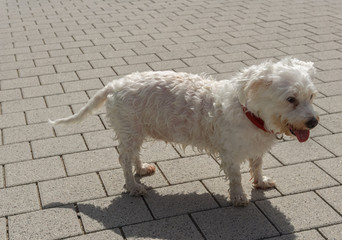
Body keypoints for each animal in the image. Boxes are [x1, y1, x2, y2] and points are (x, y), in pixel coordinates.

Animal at [49, 57, 320, 206]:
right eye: (291, 99)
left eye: (311, 96)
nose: (313, 122)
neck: (249, 112)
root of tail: (115, 84)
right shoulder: (231, 153)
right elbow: (236, 177)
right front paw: (239, 197)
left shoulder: (255, 147)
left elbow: (257, 166)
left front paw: (261, 182)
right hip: (129, 129)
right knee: (124, 159)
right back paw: (133, 186)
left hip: (135, 130)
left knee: (133, 155)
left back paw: (141, 169)